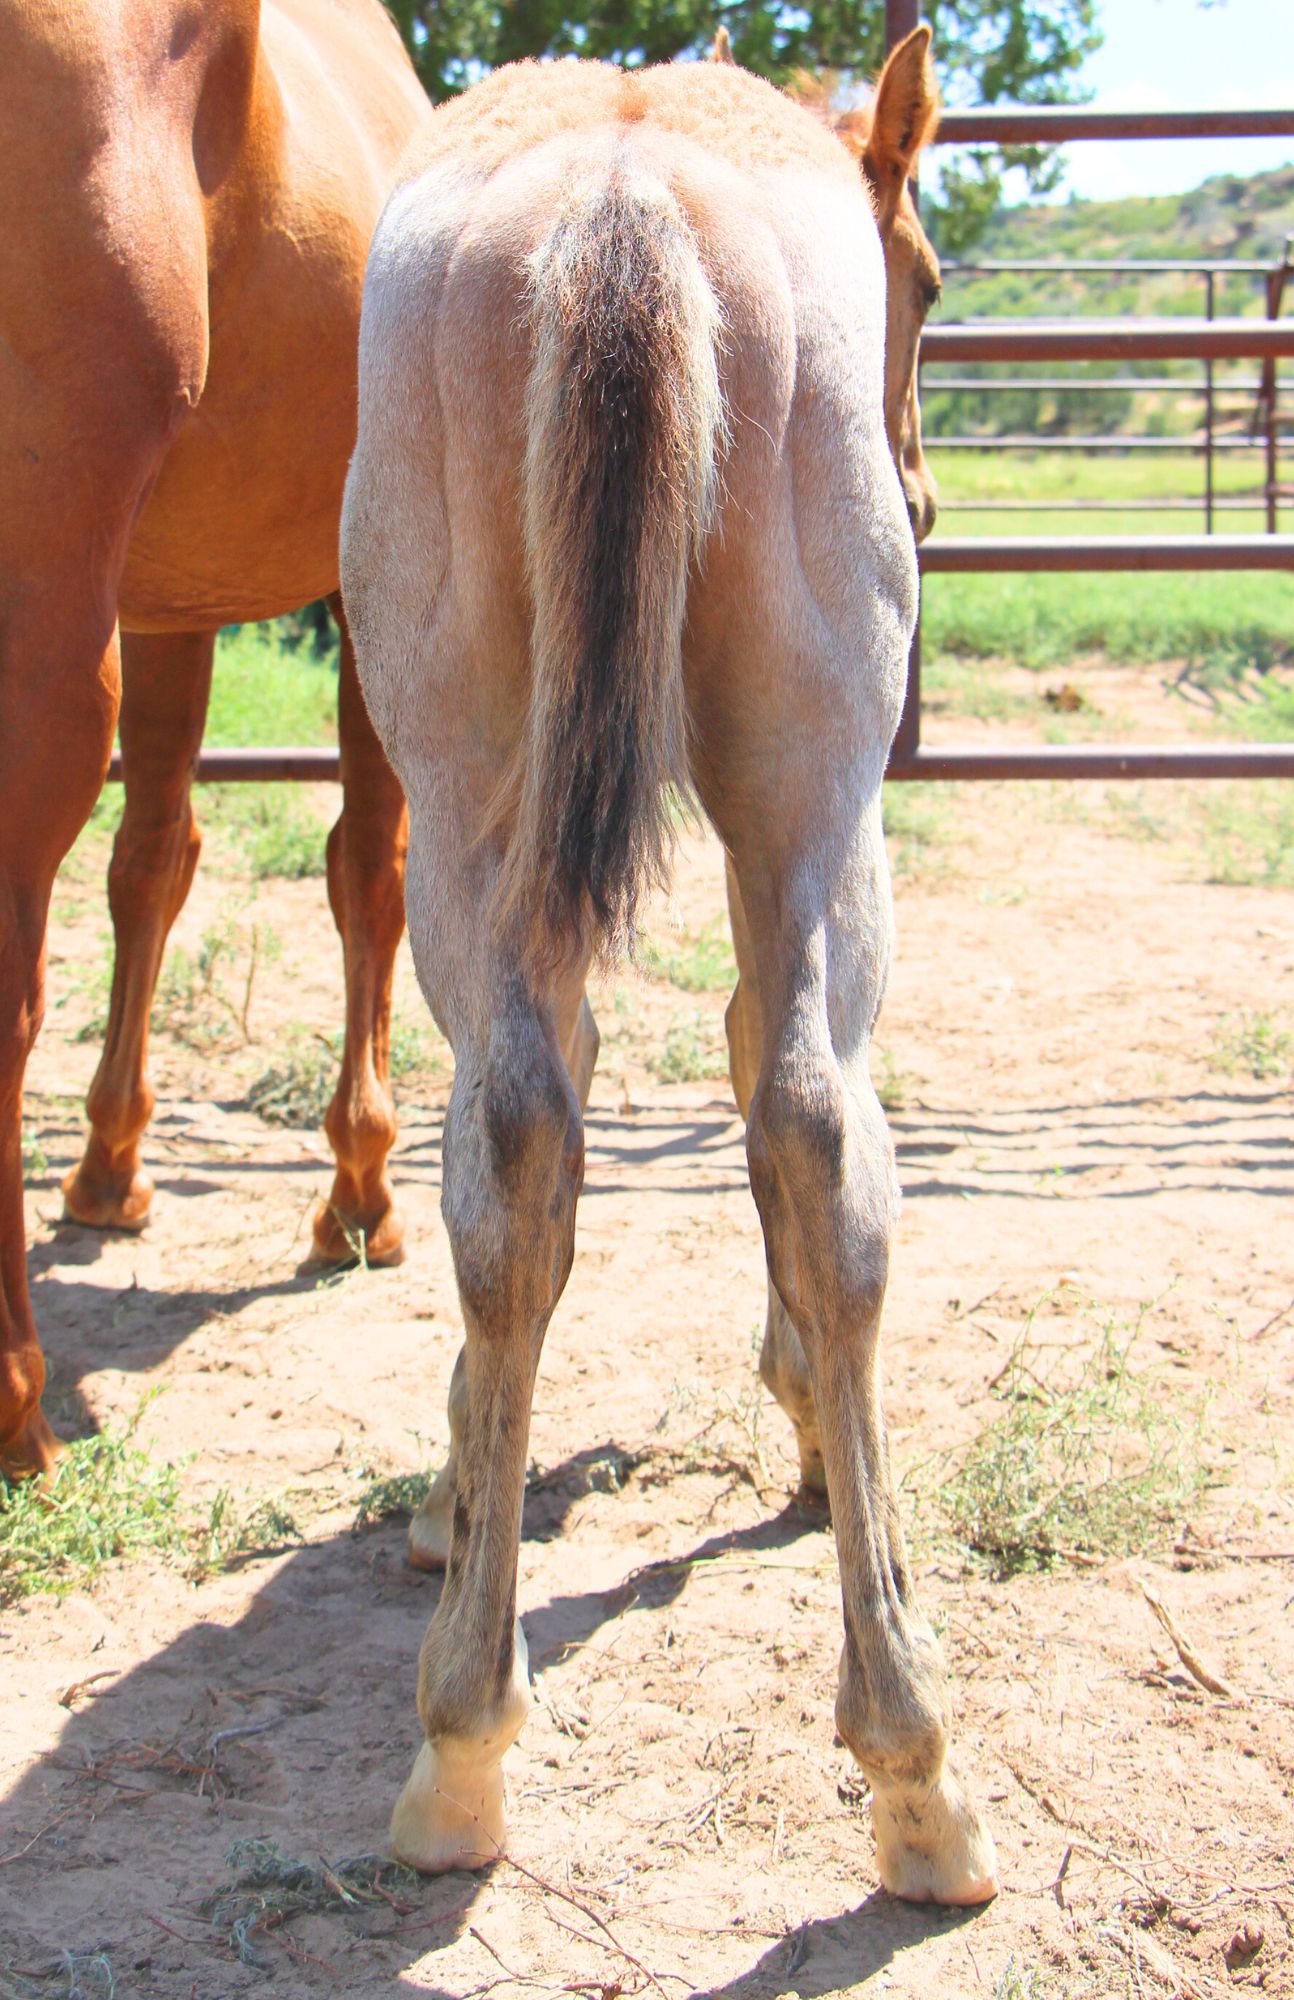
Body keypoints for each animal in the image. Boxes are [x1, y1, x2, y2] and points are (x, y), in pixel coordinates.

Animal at [0, 0, 430, 1476]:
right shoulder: (372, 579)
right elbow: (369, 870)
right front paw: (361, 1188)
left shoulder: (169, 599)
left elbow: (154, 865)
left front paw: (108, 1172)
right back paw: (18, 1400)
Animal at [341, 32, 997, 1907]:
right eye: (927, 278)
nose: (924, 492)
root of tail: (624, 187)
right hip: (813, 805)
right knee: (815, 1131)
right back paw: (912, 1772)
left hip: (481, 800)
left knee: (518, 1145)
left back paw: (465, 1752)